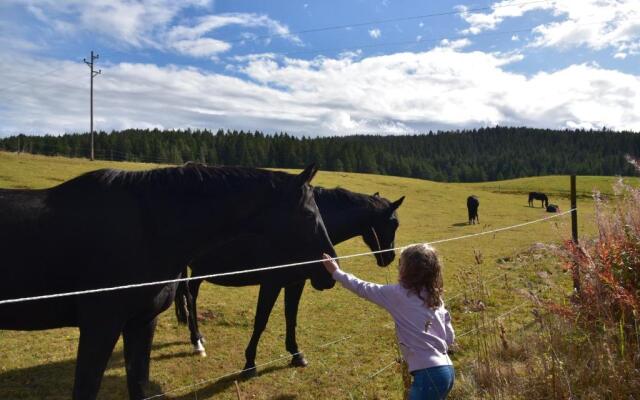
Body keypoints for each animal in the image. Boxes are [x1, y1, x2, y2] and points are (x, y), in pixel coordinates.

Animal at [0, 163, 338, 400]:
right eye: (309, 215)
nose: (329, 269)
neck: (147, 228)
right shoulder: (100, 327)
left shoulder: (141, 323)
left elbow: (138, 384)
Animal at [175, 188, 404, 376]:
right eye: (394, 223)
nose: (389, 257)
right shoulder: (271, 283)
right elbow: (261, 320)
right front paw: (250, 363)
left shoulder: (296, 282)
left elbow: (291, 316)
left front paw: (296, 354)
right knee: (189, 297)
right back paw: (196, 340)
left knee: (190, 297)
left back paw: (197, 337)